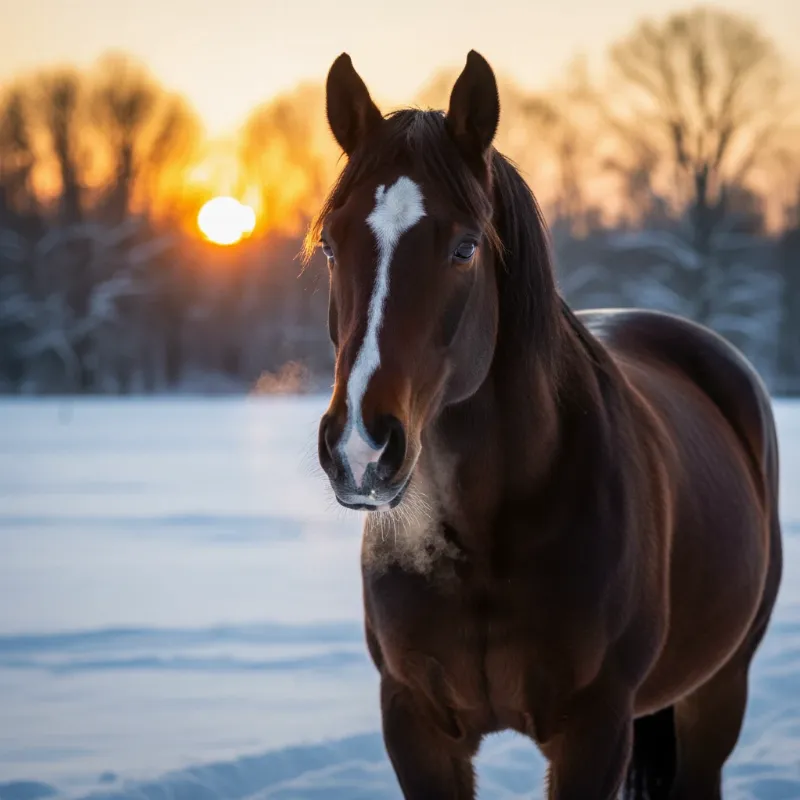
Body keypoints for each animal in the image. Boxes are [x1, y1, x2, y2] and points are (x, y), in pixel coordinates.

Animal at [310, 50, 783, 799]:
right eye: (330, 243)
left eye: (466, 247)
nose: (361, 447)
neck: (478, 536)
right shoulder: (414, 724)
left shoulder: (595, 727)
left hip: (717, 692)